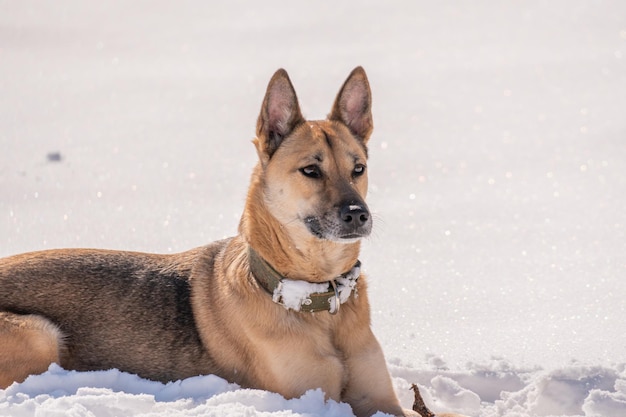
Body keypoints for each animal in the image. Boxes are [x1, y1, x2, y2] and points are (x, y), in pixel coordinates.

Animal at [0, 68, 458, 416]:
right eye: (311, 171)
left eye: (358, 168)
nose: (358, 214)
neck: (315, 299)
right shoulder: (314, 398)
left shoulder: (381, 400)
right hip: (40, 336)